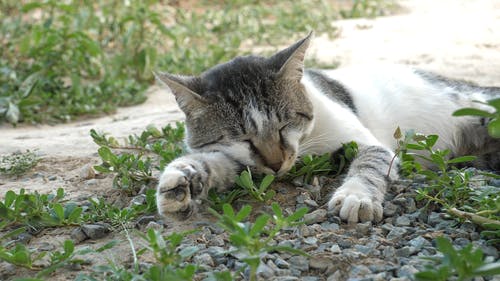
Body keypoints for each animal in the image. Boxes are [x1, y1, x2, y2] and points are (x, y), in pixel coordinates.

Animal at [154, 31, 498, 222]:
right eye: (242, 138)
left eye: (285, 124)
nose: (277, 164)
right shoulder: (243, 162)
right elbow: (214, 163)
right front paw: (181, 180)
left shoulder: (370, 143)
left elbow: (369, 165)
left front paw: (356, 196)